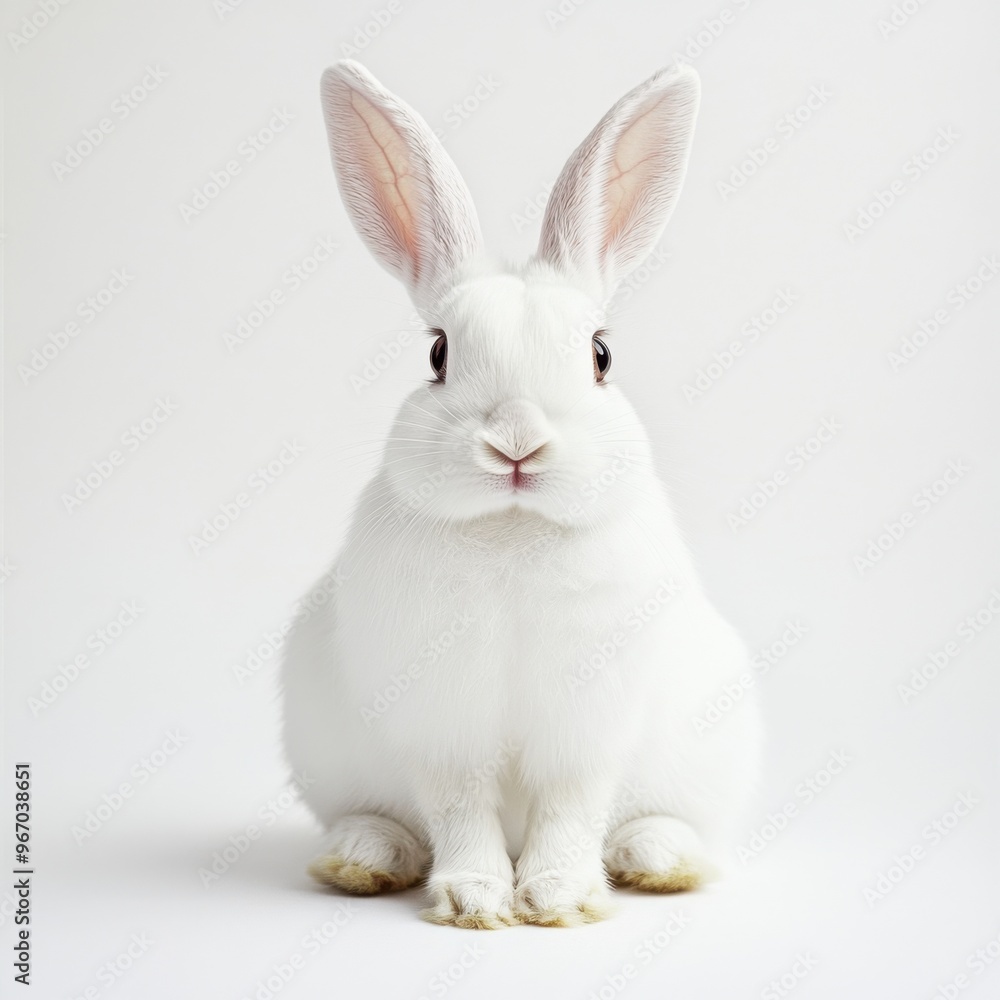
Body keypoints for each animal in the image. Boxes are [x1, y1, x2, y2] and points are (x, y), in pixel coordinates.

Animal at [281, 59, 761, 929]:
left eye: (602, 355)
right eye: (437, 354)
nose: (516, 441)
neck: (511, 529)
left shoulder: (587, 728)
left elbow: (570, 806)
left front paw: (557, 898)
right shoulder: (441, 726)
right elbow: (460, 807)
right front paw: (476, 899)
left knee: (657, 822)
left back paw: (659, 862)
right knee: (382, 819)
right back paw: (363, 859)